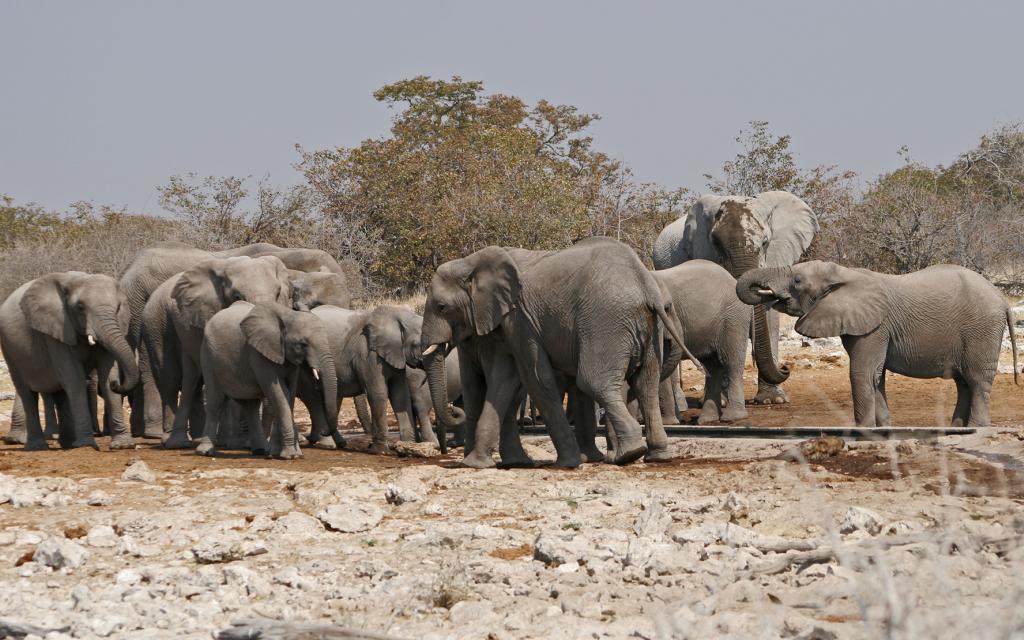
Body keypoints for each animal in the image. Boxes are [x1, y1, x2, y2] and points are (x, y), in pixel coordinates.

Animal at [655, 187, 815, 403]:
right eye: (715, 243)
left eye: (765, 243)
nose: (785, 368)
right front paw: (722, 401)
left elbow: (770, 318)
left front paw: (773, 400)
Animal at [737, 260, 1015, 430]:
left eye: (796, 280)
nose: (786, 367)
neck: (843, 272)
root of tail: (1002, 299)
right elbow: (876, 376)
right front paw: (882, 429)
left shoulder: (875, 327)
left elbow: (863, 373)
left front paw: (863, 430)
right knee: (963, 382)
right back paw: (957, 429)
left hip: (982, 330)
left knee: (977, 380)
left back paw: (976, 428)